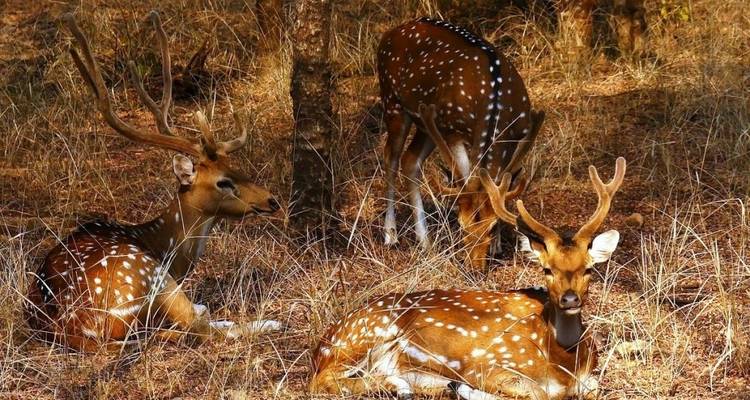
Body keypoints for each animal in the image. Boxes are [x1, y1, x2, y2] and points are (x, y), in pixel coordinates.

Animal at [24, 12, 282, 352]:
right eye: (223, 182)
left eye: (236, 167)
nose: (271, 200)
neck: (165, 244)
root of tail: (78, 330)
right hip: (149, 276)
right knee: (201, 330)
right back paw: (270, 323)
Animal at [310, 157, 627, 400]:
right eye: (547, 269)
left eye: (588, 269)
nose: (570, 299)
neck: (564, 363)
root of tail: (321, 345)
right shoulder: (488, 364)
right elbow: (538, 393)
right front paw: (469, 390)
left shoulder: (587, 378)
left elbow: (592, 387)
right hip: (364, 336)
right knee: (322, 381)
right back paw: (405, 386)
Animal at [377, 17, 545, 270]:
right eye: (461, 224)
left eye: (492, 227)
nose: (474, 267)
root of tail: (390, 32)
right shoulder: (453, 132)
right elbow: (467, 177)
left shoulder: (515, 135)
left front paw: (496, 246)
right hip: (392, 102)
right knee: (391, 158)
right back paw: (391, 235)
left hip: (426, 123)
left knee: (410, 161)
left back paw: (425, 241)